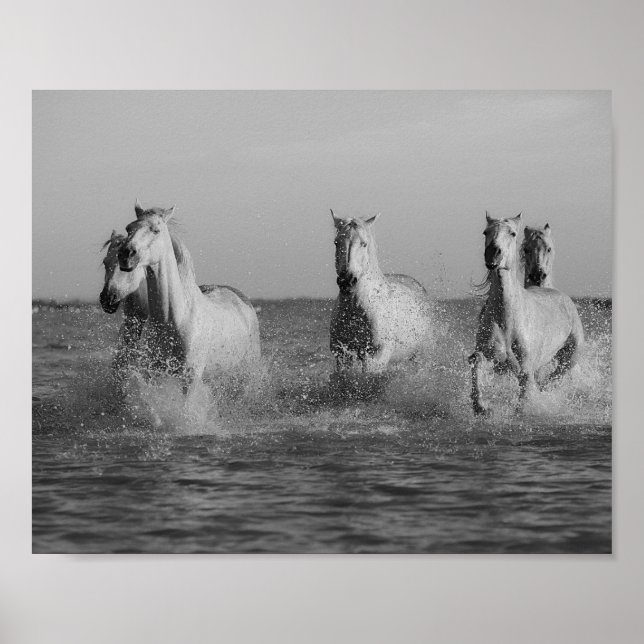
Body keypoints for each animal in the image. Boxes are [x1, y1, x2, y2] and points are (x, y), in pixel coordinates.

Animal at [115, 201, 261, 392]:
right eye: (128, 228)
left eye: (156, 230)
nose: (126, 254)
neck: (174, 319)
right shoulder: (154, 374)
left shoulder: (190, 379)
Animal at [329, 210, 433, 380]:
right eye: (336, 243)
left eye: (364, 244)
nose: (347, 281)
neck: (356, 310)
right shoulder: (343, 356)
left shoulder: (375, 357)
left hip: (418, 356)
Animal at [468, 212, 584, 415]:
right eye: (485, 232)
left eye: (513, 233)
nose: (493, 253)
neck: (507, 320)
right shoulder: (492, 357)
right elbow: (477, 363)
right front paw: (481, 406)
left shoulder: (525, 369)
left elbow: (525, 397)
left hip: (569, 357)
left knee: (554, 377)